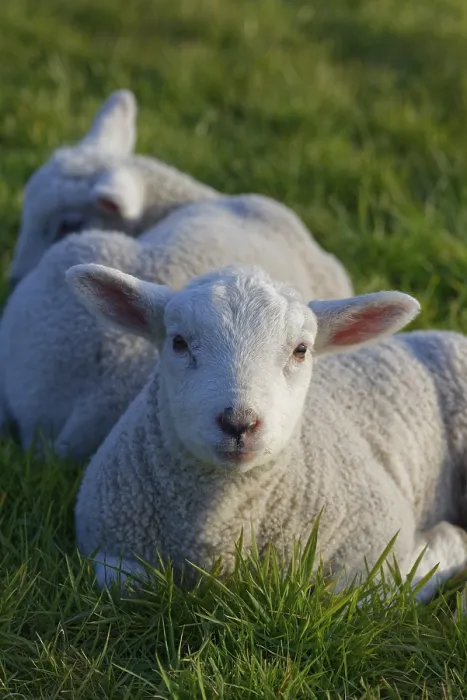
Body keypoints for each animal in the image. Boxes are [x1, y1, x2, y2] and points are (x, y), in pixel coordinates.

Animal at [65, 262, 467, 603]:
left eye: (301, 350)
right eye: (178, 342)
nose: (238, 422)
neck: (218, 528)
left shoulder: (377, 542)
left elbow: (368, 593)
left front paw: (444, 545)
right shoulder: (107, 543)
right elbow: (127, 584)